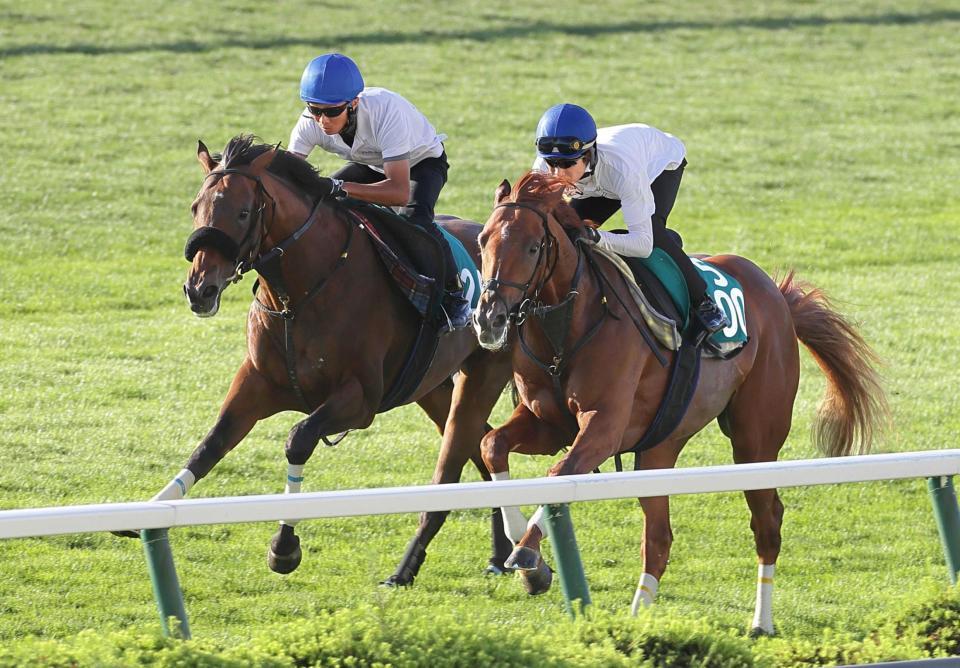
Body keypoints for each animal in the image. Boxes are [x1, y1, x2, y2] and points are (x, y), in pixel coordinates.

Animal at [133, 135, 517, 586]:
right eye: (196, 207)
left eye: (243, 212)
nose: (199, 290)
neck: (299, 294)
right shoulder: (256, 382)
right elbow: (210, 445)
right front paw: (146, 512)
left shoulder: (360, 400)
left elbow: (298, 439)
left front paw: (284, 548)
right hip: (434, 389)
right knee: (480, 445)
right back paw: (499, 553)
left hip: (483, 373)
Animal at [472, 172, 888, 635]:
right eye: (482, 241)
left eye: (531, 247)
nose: (488, 318)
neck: (568, 327)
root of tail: (778, 296)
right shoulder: (548, 423)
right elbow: (493, 446)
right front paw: (531, 564)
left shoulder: (603, 427)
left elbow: (559, 474)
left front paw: (527, 553)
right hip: (659, 445)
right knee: (659, 539)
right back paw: (637, 622)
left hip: (754, 440)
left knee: (767, 521)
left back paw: (760, 622)